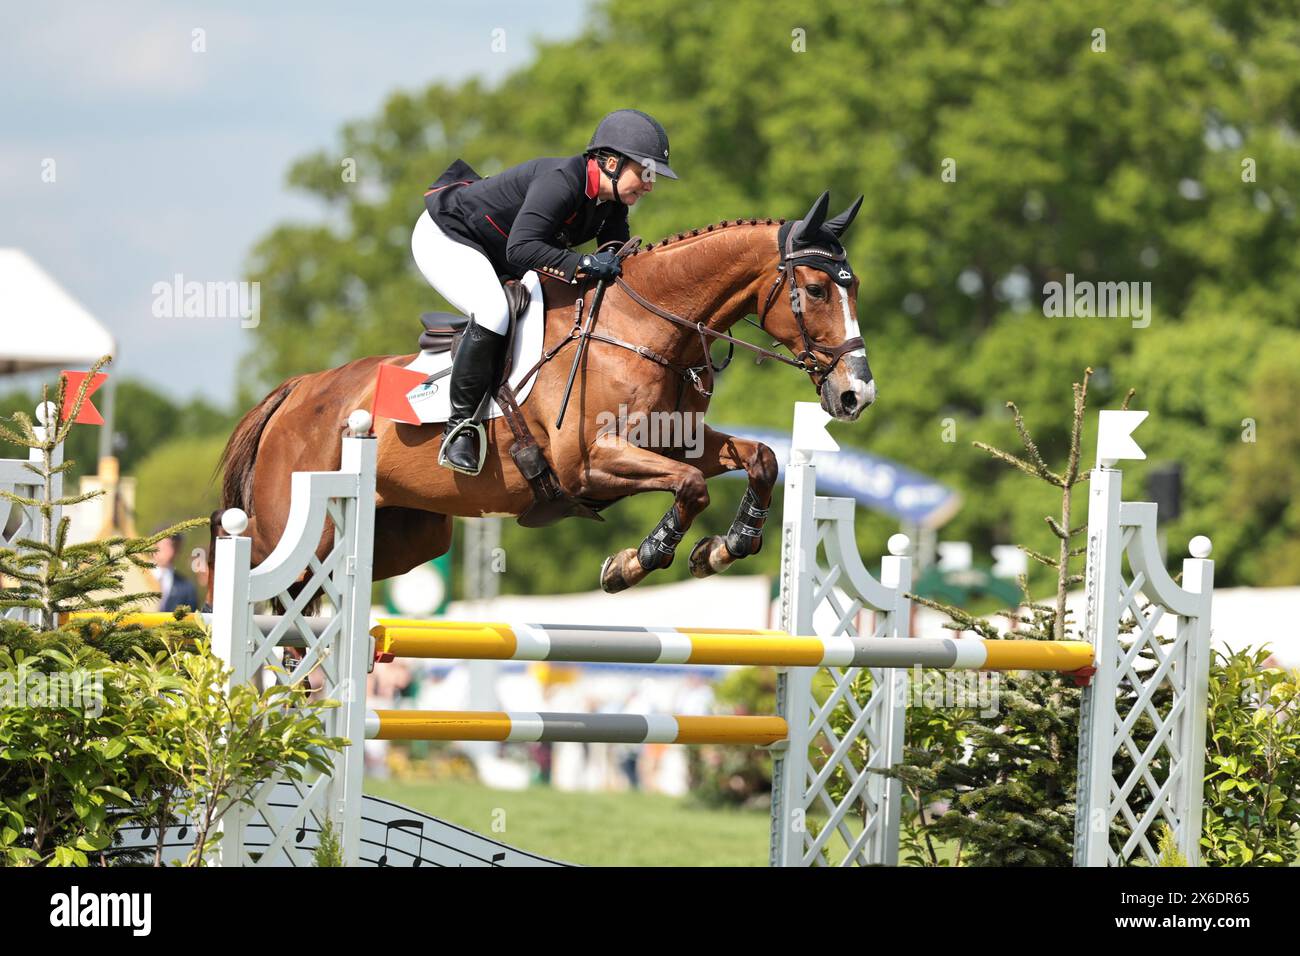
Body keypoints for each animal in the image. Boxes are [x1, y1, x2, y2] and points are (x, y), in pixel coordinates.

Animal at [218, 192, 878, 598]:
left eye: (853, 287)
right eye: (817, 289)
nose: (856, 395)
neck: (646, 328)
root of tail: (297, 393)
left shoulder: (674, 443)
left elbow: (759, 459)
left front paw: (723, 548)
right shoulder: (588, 462)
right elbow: (690, 488)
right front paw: (632, 563)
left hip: (404, 538)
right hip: (296, 542)